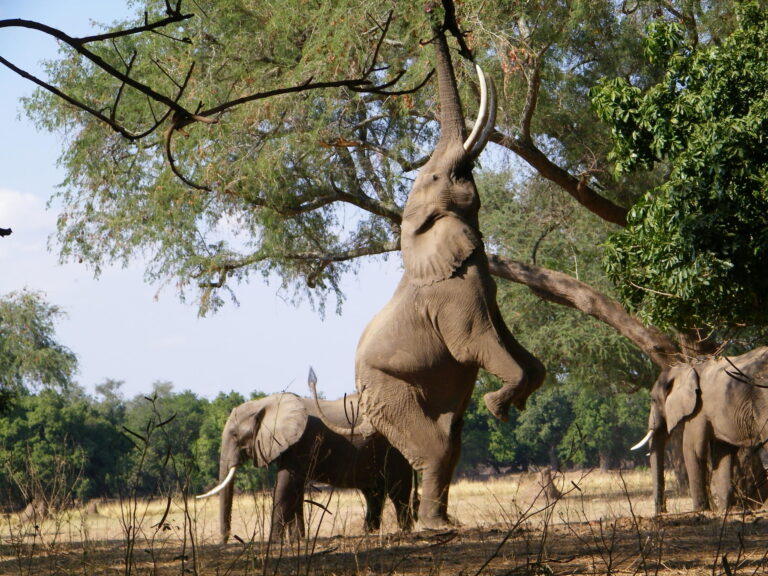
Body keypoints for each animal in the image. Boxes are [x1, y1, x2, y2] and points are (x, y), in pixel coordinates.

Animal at [196, 392, 416, 543]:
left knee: (398, 489)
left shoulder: (302, 441)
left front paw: (273, 541)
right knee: (373, 493)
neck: (267, 402)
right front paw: (298, 540)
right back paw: (369, 532)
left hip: (397, 448)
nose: (225, 540)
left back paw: (404, 532)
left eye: (235, 435)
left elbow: (286, 486)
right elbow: (295, 490)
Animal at [311, 23, 545, 530]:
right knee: (438, 449)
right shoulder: (451, 295)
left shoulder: (482, 284)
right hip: (386, 391)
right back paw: (435, 529)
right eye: (440, 177)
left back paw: (445, 525)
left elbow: (509, 343)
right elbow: (476, 344)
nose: (436, 22)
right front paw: (498, 408)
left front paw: (511, 403)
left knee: (449, 445)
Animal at [632, 347, 768, 513]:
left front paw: (700, 511)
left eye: (653, 400)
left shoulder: (698, 409)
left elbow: (692, 450)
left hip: (762, 396)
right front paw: (724, 511)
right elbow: (722, 453)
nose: (662, 512)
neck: (685, 368)